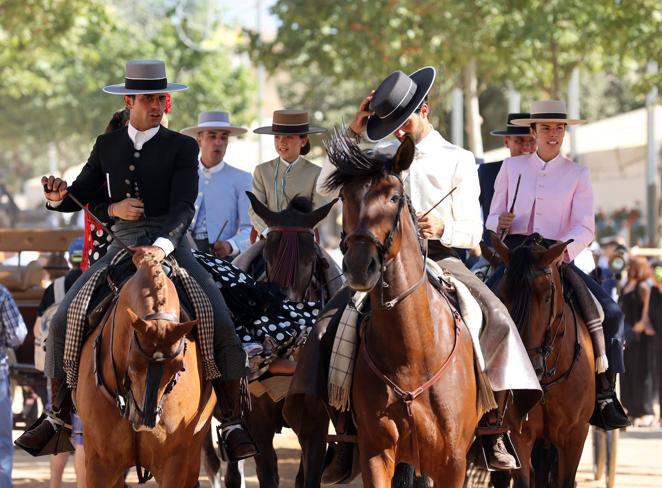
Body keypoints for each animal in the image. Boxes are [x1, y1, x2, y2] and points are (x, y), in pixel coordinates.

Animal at [326, 134, 482, 488]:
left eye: (394, 196)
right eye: (344, 196)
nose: (360, 266)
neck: (413, 351)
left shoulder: (453, 462)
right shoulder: (377, 453)